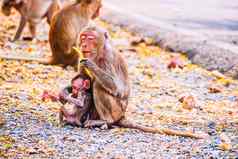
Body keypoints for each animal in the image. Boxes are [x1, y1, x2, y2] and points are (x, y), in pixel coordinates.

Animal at [77, 25, 206, 139]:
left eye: (90, 38)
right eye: (83, 37)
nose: (83, 44)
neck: (100, 51)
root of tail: (122, 115)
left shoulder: (108, 57)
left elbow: (117, 88)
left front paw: (90, 65)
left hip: (117, 111)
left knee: (98, 86)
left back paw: (105, 121)